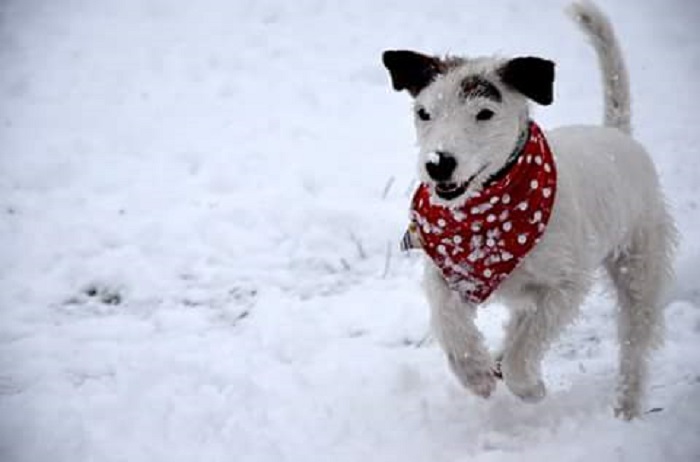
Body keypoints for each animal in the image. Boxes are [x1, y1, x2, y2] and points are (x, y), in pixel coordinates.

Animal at [382, 0, 680, 420]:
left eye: (484, 113)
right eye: (423, 112)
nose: (438, 163)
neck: (486, 213)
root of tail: (617, 134)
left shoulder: (565, 285)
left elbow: (528, 345)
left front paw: (528, 387)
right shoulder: (445, 269)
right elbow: (448, 319)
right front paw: (475, 371)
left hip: (639, 266)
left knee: (634, 343)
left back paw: (627, 408)